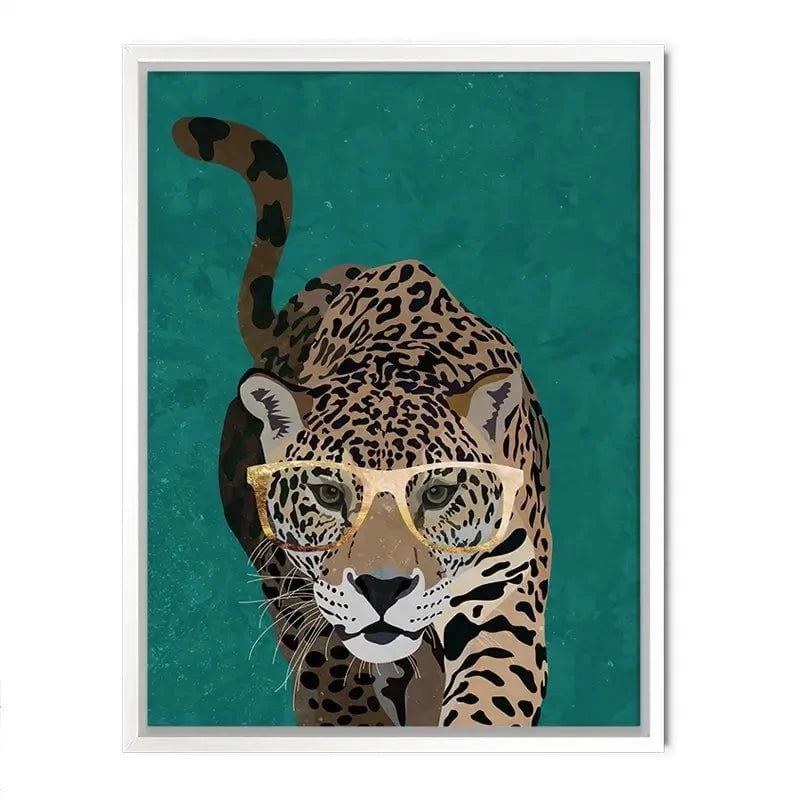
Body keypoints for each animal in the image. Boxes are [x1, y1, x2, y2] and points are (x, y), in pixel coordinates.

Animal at [172, 116, 552, 727]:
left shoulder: (504, 596)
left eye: (439, 493)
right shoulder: (309, 603)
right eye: (329, 494)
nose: (382, 588)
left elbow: (491, 700)